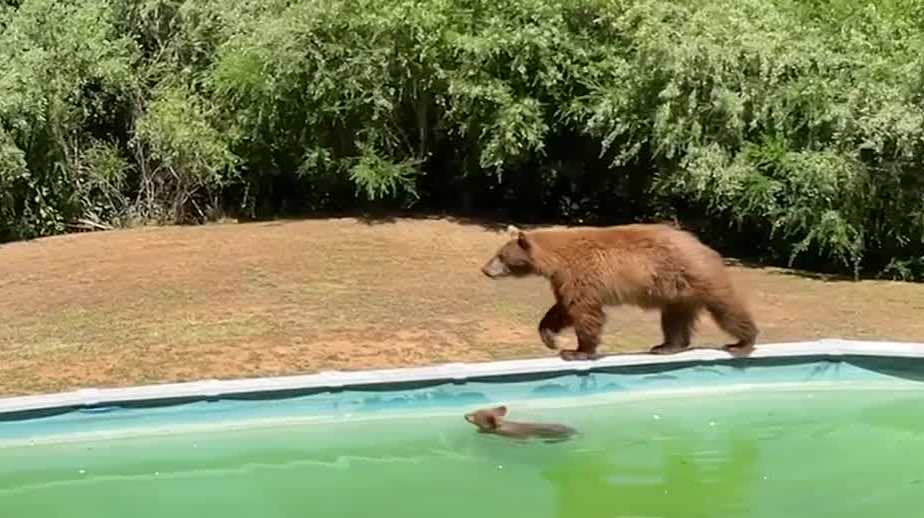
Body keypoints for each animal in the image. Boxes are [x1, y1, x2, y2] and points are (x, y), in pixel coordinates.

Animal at [481, 223, 758, 361]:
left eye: (500, 255)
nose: (485, 269)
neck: (555, 260)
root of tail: (701, 245)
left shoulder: (580, 274)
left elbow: (584, 311)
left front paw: (577, 351)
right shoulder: (563, 280)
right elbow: (562, 308)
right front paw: (550, 337)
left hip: (695, 276)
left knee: (727, 308)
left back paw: (742, 342)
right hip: (676, 292)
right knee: (674, 319)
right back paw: (666, 346)